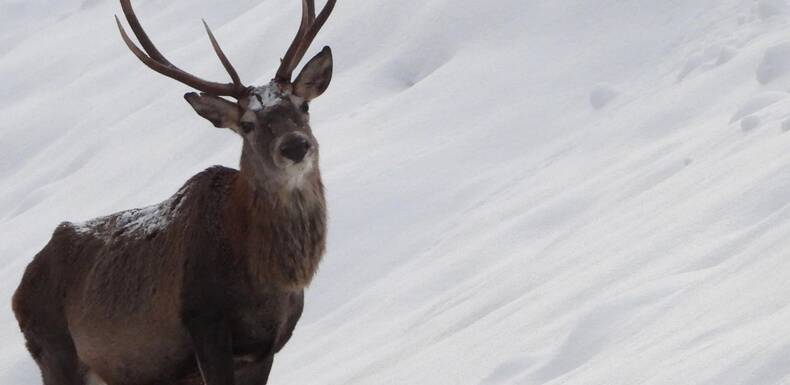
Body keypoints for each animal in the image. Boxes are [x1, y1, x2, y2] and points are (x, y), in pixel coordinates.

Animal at [12, 0, 338, 382]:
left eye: (303, 106)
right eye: (247, 125)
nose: (295, 146)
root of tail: (18, 291)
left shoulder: (266, 347)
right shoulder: (205, 324)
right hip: (54, 352)